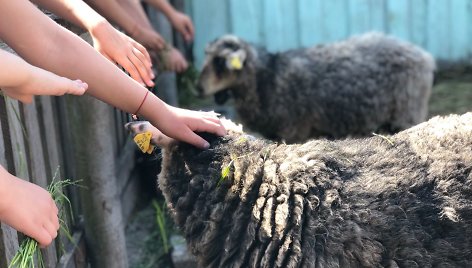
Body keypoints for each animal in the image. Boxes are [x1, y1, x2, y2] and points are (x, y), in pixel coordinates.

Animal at [195, 31, 436, 142]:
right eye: (207, 57)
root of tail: (423, 55)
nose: (198, 89)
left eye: (220, 61)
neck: (268, 80)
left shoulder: (294, 132)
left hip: (406, 112)